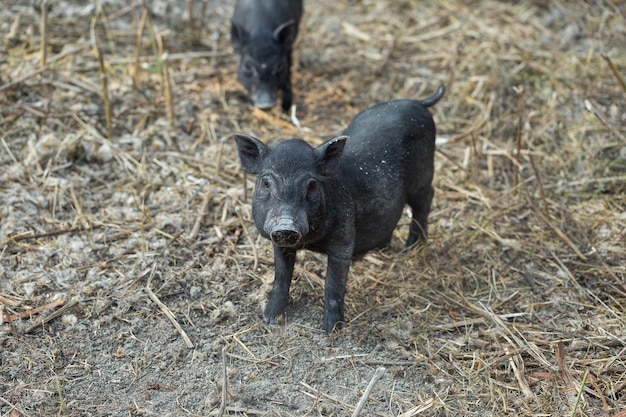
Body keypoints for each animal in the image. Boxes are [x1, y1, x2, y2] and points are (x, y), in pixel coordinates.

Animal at [234, 84, 444, 332]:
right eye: (265, 183)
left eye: (312, 184)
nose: (286, 225)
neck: (311, 243)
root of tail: (416, 102)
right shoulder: (280, 244)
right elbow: (281, 278)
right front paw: (269, 320)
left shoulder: (343, 241)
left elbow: (333, 286)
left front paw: (330, 330)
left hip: (423, 175)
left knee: (426, 198)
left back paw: (411, 247)